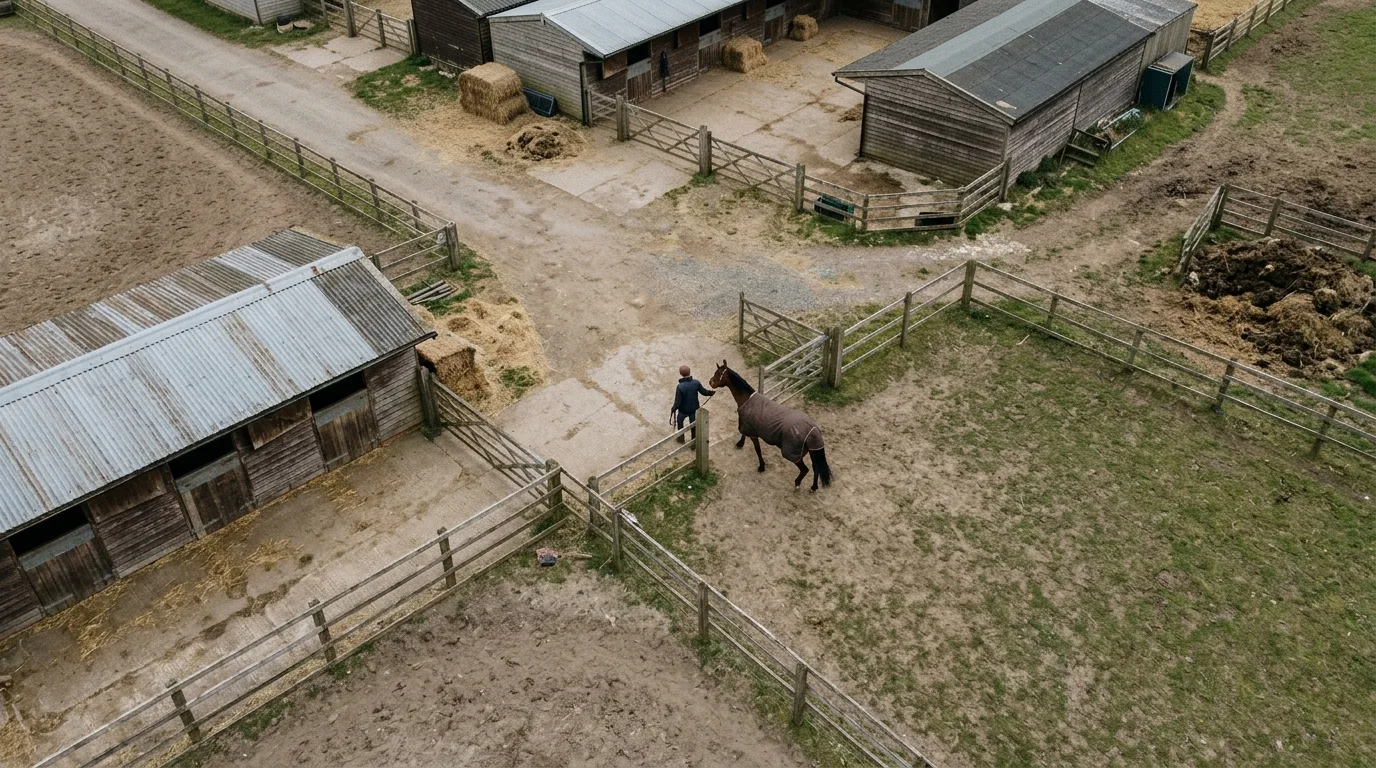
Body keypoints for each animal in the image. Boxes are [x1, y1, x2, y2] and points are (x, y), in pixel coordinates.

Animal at [709, 360, 832, 492]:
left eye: (718, 373)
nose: (710, 382)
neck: (747, 399)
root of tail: (812, 430)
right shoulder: (747, 425)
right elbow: (743, 434)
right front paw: (740, 444)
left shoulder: (752, 433)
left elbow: (757, 450)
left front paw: (761, 466)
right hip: (813, 452)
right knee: (816, 467)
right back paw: (814, 487)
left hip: (793, 454)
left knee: (805, 469)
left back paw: (797, 483)